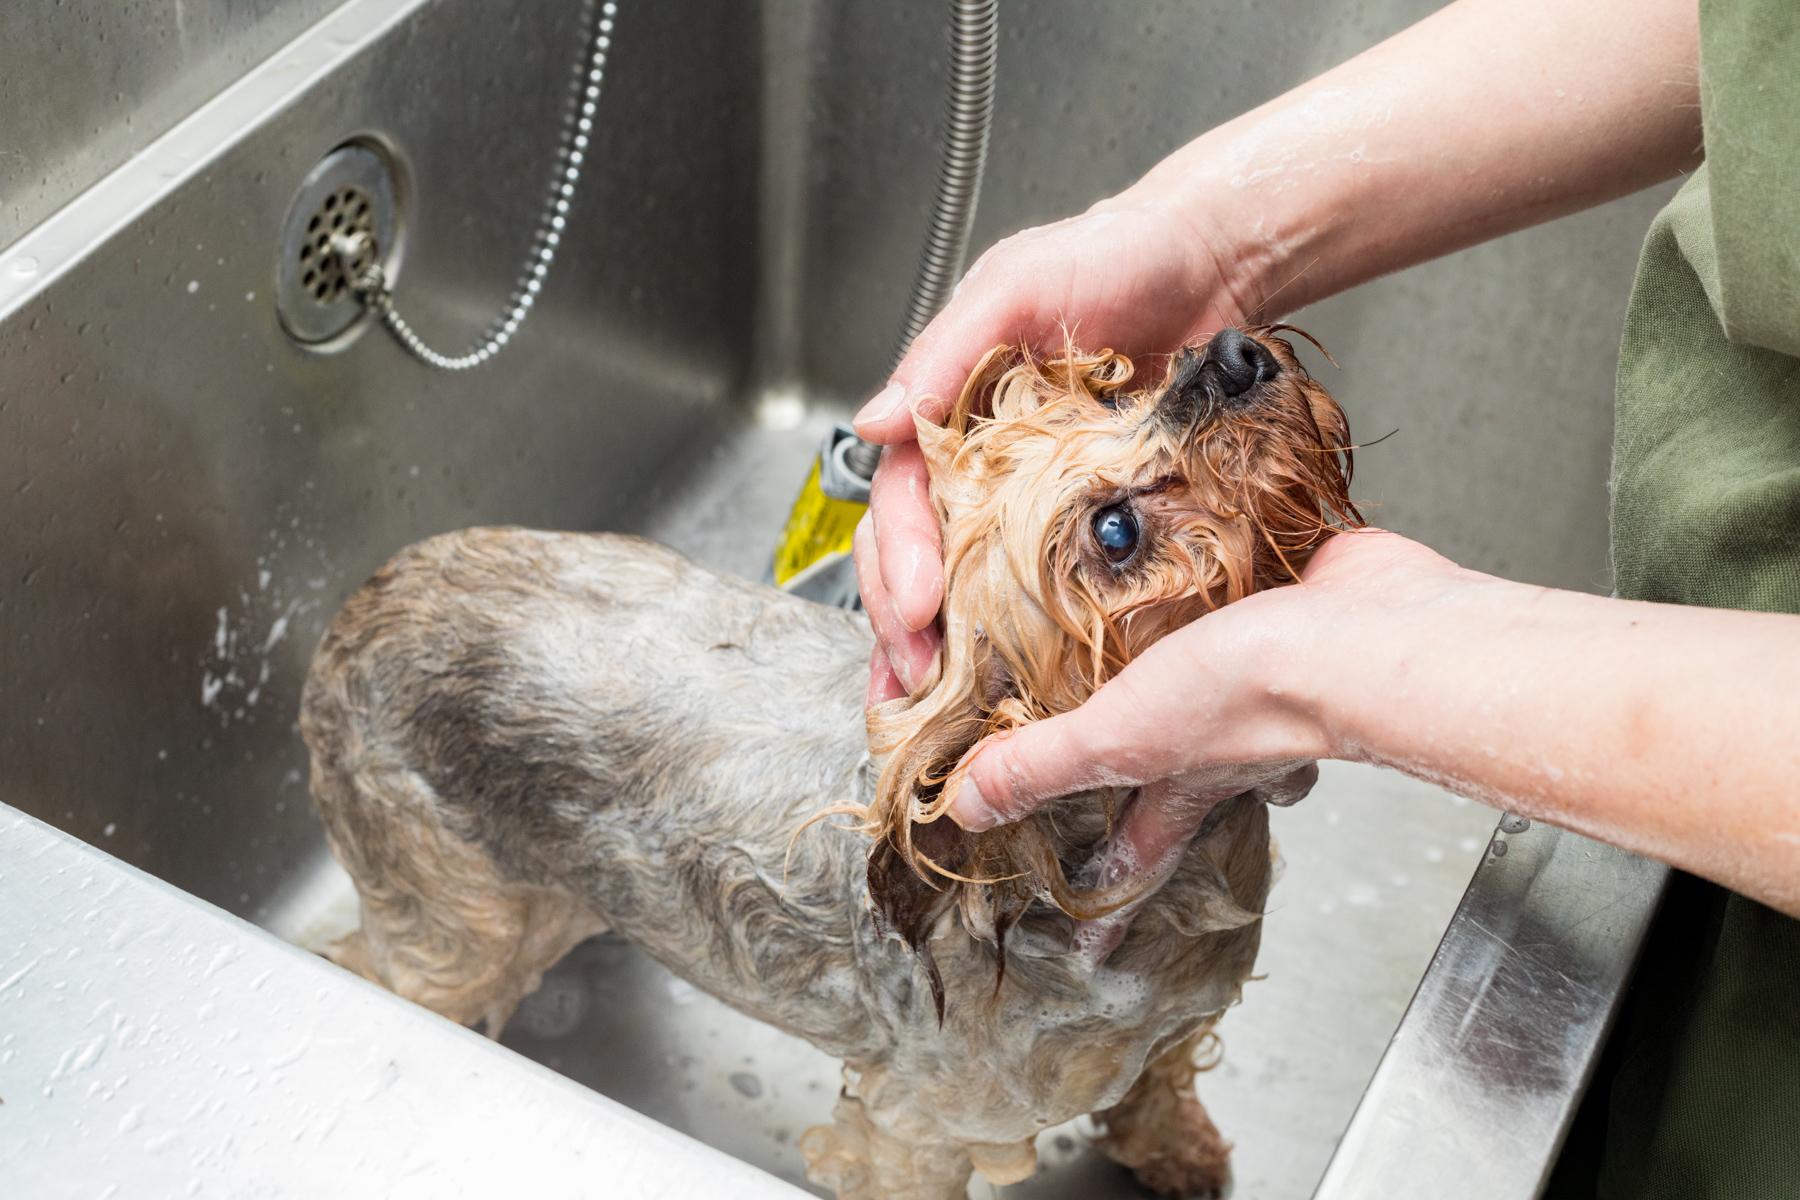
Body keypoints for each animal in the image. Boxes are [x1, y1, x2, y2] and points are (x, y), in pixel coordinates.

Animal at [302, 323, 1353, 1194]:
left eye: (1108, 389)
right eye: (1114, 533)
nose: (1227, 354)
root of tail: (355, 610)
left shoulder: (1179, 1020)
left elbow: (1159, 1089)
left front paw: (1180, 1155)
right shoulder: (916, 1131)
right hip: (449, 927)